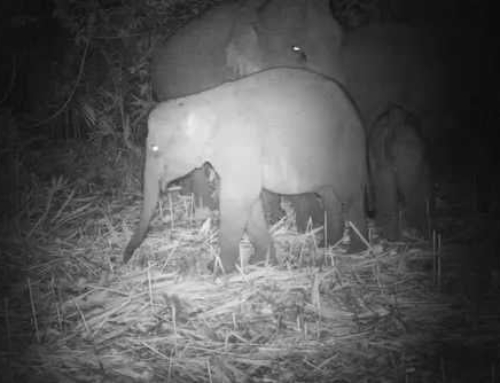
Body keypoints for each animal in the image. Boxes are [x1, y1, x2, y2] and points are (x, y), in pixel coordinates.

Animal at [124, 68, 368, 272]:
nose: (125, 258)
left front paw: (218, 270)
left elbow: (237, 197)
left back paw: (356, 249)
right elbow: (248, 201)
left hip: (345, 148)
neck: (199, 100)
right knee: (329, 194)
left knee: (349, 194)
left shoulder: (241, 145)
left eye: (154, 149)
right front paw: (261, 262)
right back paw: (328, 242)